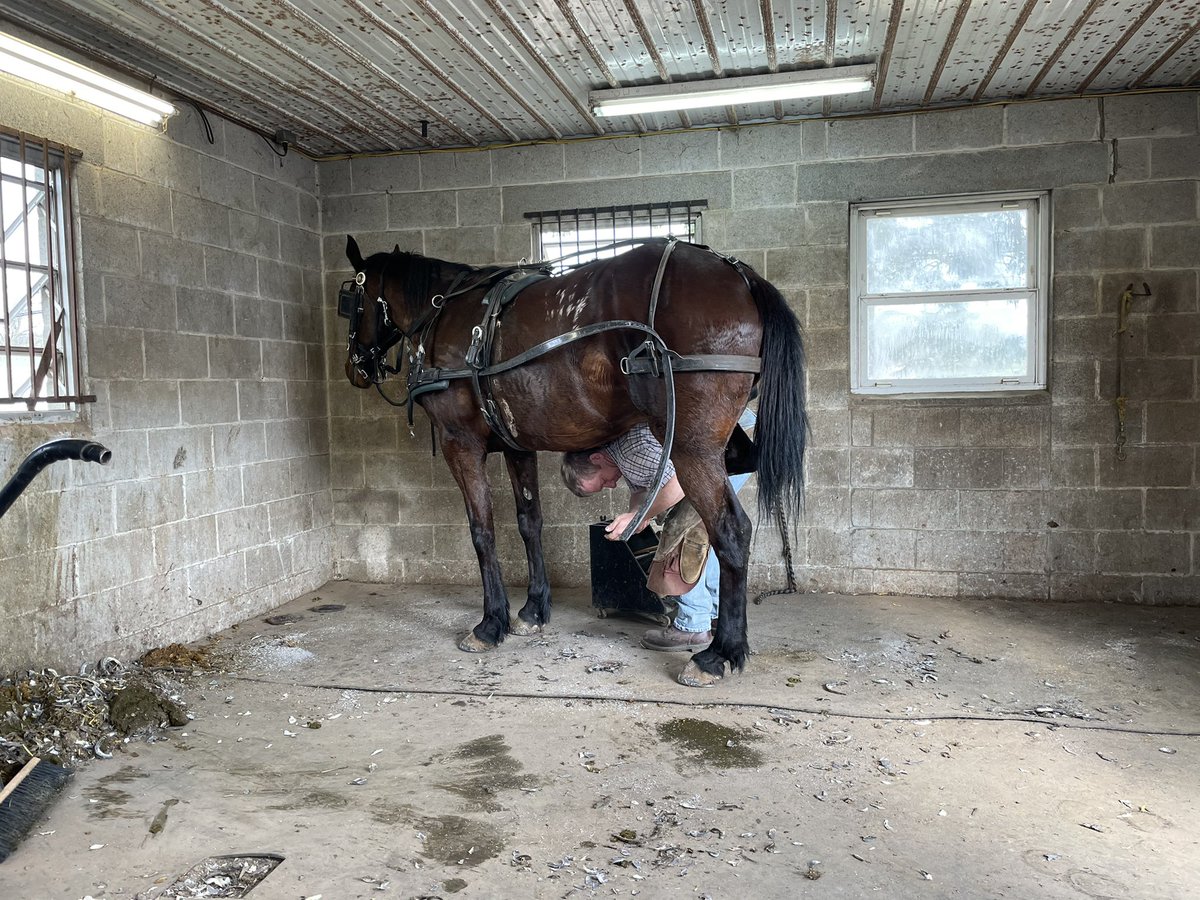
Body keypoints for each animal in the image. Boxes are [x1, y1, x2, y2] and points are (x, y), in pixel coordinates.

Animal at [338, 236, 806, 686]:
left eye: (349, 299)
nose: (353, 368)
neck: (443, 312)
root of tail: (737, 273)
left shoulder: (460, 444)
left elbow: (482, 532)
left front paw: (490, 624)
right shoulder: (517, 446)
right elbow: (530, 523)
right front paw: (532, 610)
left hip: (690, 446)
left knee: (731, 530)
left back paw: (719, 654)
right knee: (741, 465)